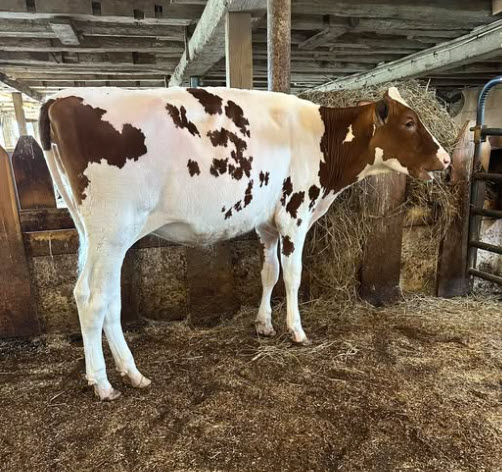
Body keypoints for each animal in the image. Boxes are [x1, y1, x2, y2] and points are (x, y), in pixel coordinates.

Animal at [38, 86, 450, 400]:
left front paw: (264, 324)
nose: (446, 159)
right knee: (94, 299)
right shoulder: (294, 213)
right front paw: (296, 331)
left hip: (93, 234)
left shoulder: (266, 223)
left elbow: (269, 273)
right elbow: (293, 275)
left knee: (101, 296)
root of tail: (59, 98)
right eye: (409, 122)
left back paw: (130, 373)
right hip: (111, 229)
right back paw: (104, 383)